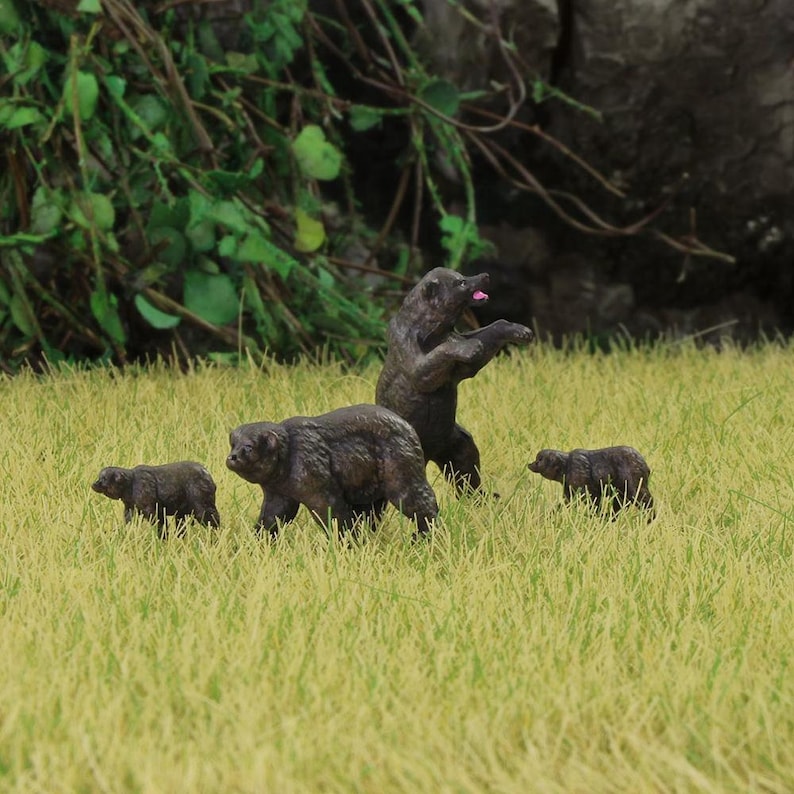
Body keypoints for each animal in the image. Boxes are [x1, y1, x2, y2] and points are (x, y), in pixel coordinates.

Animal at [92, 462, 221, 535]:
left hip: (202, 509)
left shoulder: (154, 512)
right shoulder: (130, 510)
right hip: (181, 514)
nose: (93, 484)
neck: (131, 484)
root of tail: (207, 475)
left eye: (103, 479)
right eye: (100, 477)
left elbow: (161, 527)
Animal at [226, 404, 439, 539]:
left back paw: (425, 536)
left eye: (249, 447)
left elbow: (334, 514)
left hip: (400, 473)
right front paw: (257, 542)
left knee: (421, 503)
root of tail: (410, 430)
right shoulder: (279, 494)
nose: (232, 457)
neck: (287, 455)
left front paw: (348, 544)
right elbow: (272, 517)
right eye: (233, 444)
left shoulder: (316, 481)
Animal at [376, 267, 534, 494]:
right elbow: (436, 356)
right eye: (461, 282)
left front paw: (521, 331)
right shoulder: (412, 359)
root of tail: (431, 453)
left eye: (463, 275)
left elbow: (495, 326)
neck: (432, 330)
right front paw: (470, 347)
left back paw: (484, 498)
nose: (485, 275)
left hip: (457, 444)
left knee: (466, 473)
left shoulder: (461, 368)